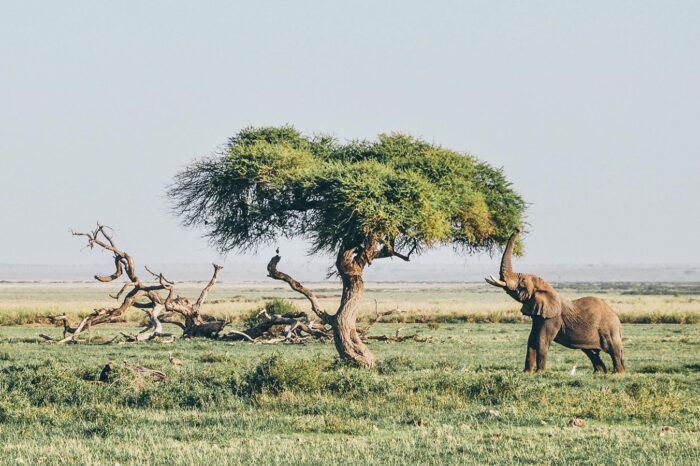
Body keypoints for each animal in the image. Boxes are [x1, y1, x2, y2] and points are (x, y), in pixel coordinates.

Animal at [485, 228, 625, 374]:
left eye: (522, 282)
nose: (518, 229)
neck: (546, 288)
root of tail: (617, 318)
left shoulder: (552, 318)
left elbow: (541, 340)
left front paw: (539, 372)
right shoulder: (539, 315)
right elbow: (531, 339)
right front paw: (527, 372)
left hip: (609, 329)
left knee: (614, 350)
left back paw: (617, 374)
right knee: (591, 352)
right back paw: (599, 373)